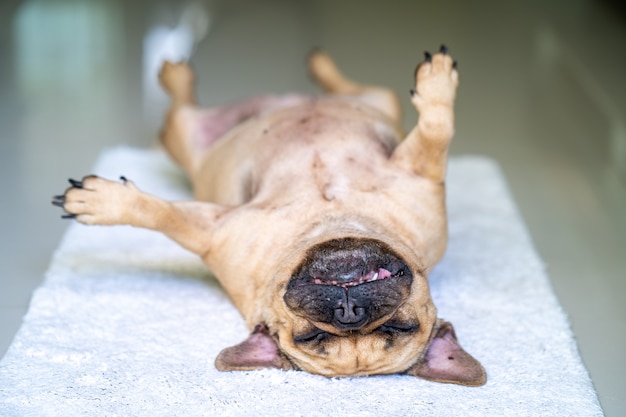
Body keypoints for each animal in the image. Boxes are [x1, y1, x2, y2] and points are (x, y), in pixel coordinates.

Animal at [51, 44, 486, 384]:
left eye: (399, 327)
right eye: (312, 338)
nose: (350, 312)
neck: (333, 216)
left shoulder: (210, 231)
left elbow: (166, 216)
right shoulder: (420, 173)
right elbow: (436, 130)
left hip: (182, 133)